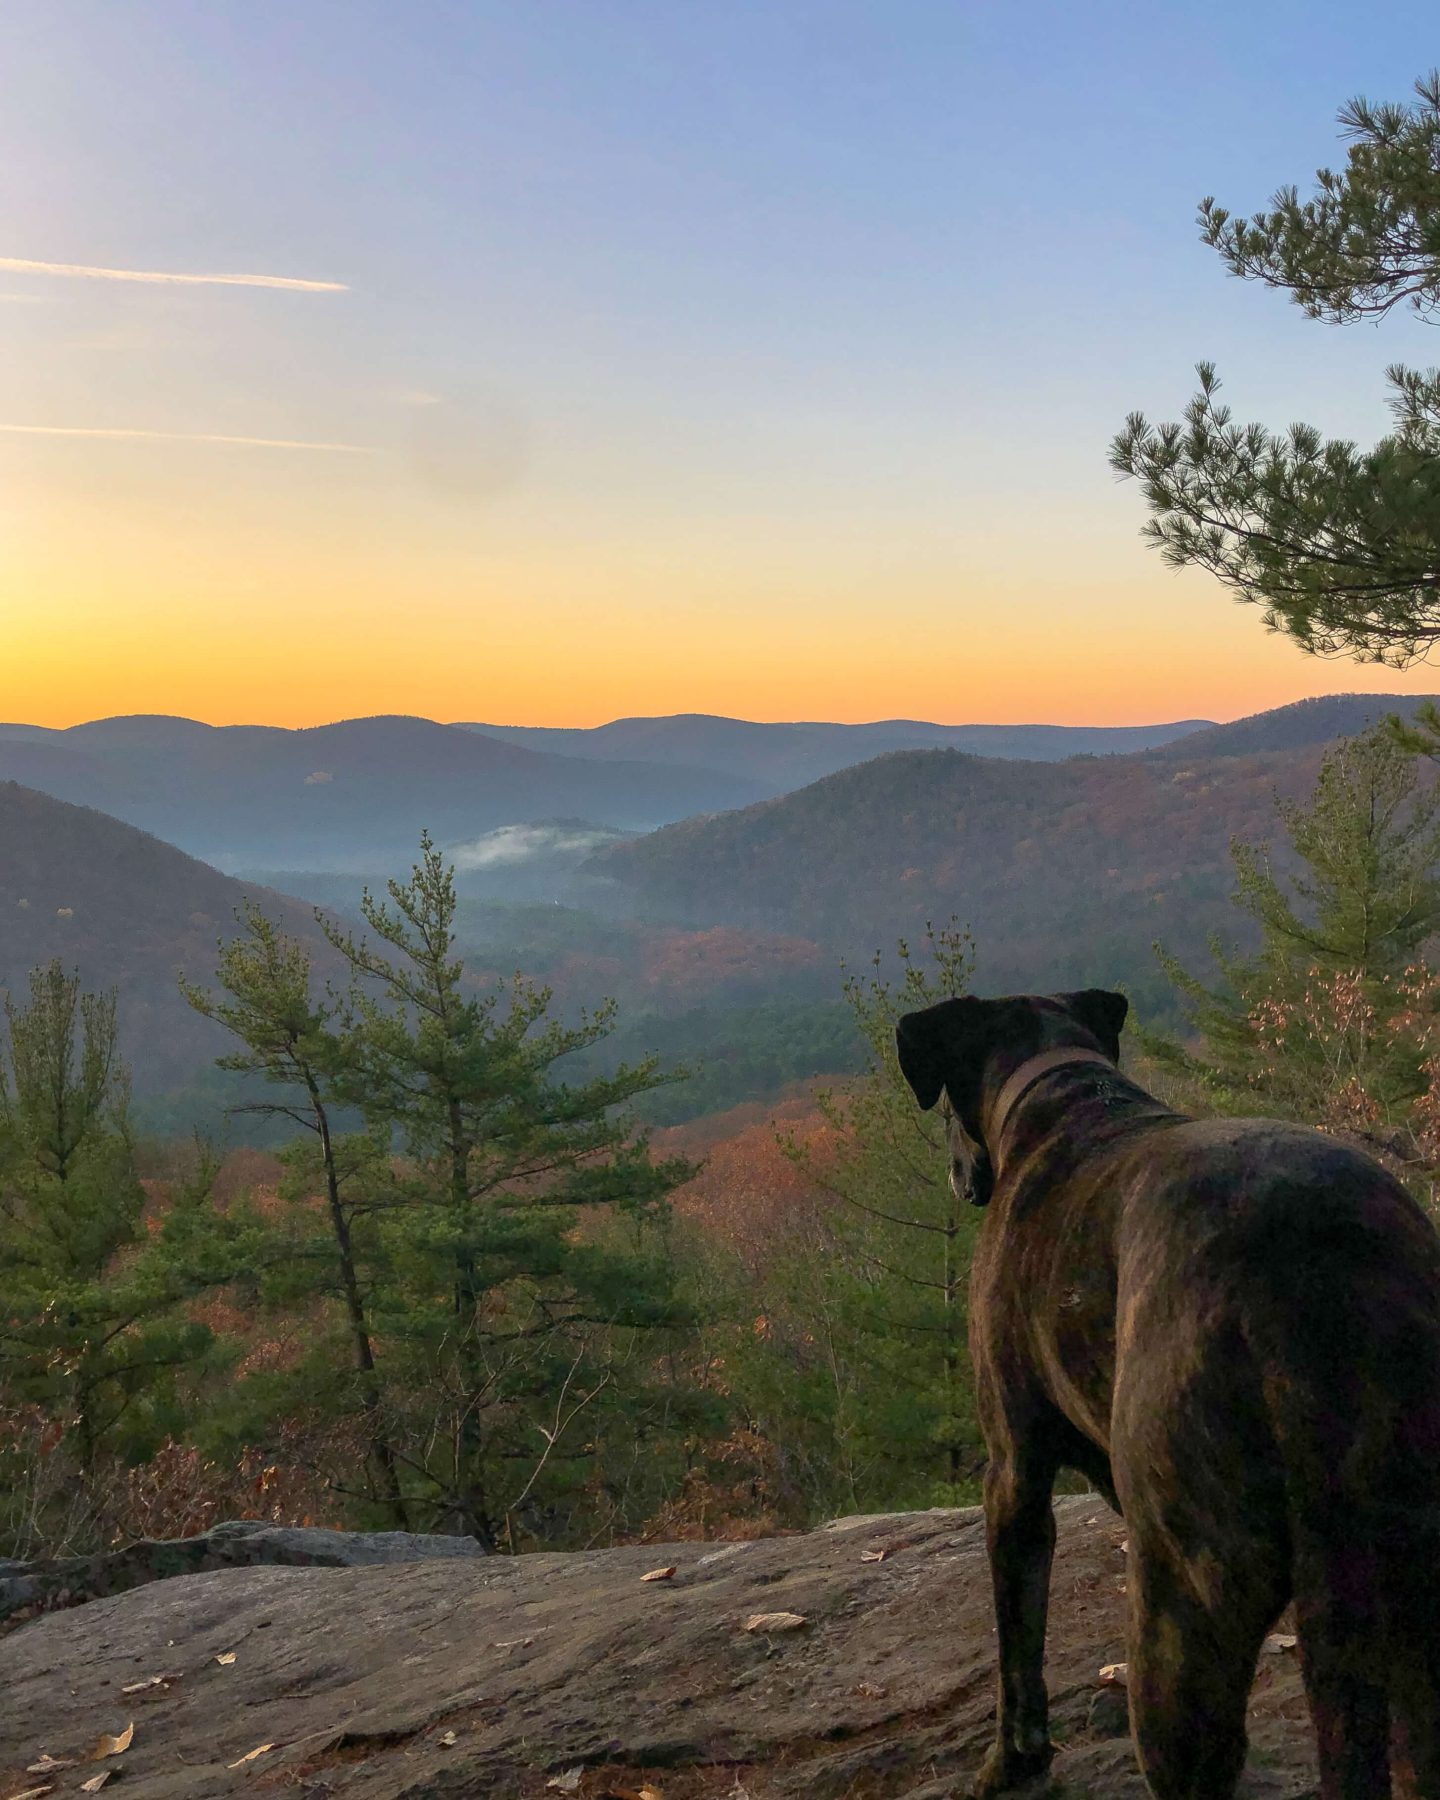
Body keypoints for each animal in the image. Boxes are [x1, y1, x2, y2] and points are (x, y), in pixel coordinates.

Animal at [900, 993, 1440, 1792]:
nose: (957, 1176)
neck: (1062, 1092)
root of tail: (1310, 1273)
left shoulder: (1013, 1473)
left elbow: (1017, 1644)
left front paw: (1011, 1761)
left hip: (1180, 1613)